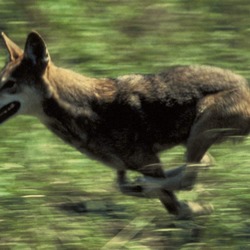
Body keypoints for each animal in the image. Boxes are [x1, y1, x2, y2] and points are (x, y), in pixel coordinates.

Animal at [0, 32, 250, 218]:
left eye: (9, 84)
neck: (85, 108)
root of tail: (245, 82)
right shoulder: (124, 166)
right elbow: (124, 186)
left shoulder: (147, 161)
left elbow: (173, 204)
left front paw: (193, 208)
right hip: (192, 138)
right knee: (202, 164)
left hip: (202, 123)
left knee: (189, 177)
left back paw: (150, 184)